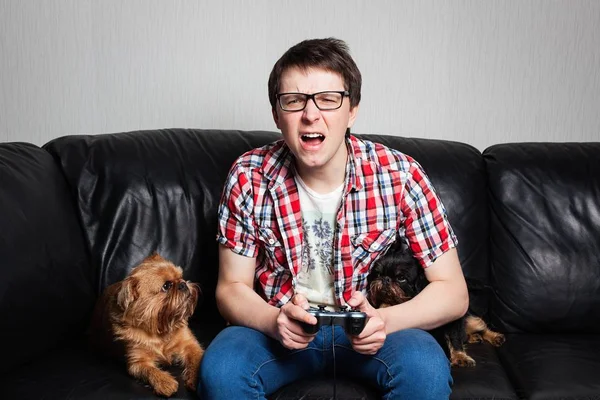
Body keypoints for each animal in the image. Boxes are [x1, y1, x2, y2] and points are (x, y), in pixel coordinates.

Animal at [368, 239, 504, 368]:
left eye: (401, 278)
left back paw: (494, 337)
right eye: (378, 274)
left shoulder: (454, 322)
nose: (385, 279)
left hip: (470, 320)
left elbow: (454, 339)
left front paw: (460, 357)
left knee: (481, 326)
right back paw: (473, 337)